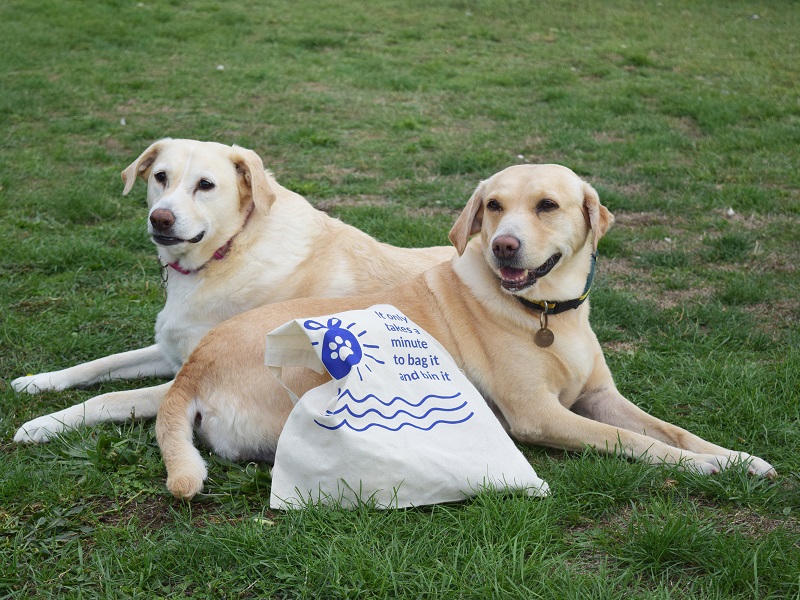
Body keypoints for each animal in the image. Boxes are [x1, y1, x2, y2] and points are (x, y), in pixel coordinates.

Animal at [12, 138, 454, 442]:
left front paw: (42, 424)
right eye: (160, 177)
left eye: (205, 185)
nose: (161, 218)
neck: (226, 254)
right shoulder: (174, 349)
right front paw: (39, 381)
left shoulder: (190, 376)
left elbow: (107, 399)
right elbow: (99, 364)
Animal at [156, 162, 776, 500]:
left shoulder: (601, 396)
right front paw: (703, 467)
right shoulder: (540, 414)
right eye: (493, 205)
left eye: (547, 205)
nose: (503, 245)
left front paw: (736, 458)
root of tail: (192, 369)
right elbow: (638, 442)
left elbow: (673, 430)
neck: (547, 311)